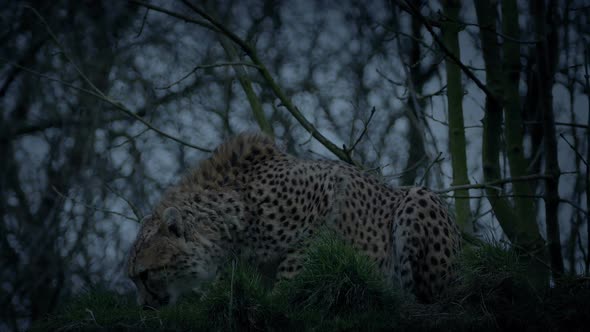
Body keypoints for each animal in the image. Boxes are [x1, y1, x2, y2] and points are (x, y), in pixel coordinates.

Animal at [128, 132, 462, 306]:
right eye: (133, 278)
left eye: (145, 274)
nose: (144, 306)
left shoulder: (328, 191)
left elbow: (297, 262)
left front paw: (283, 294)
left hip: (418, 199)